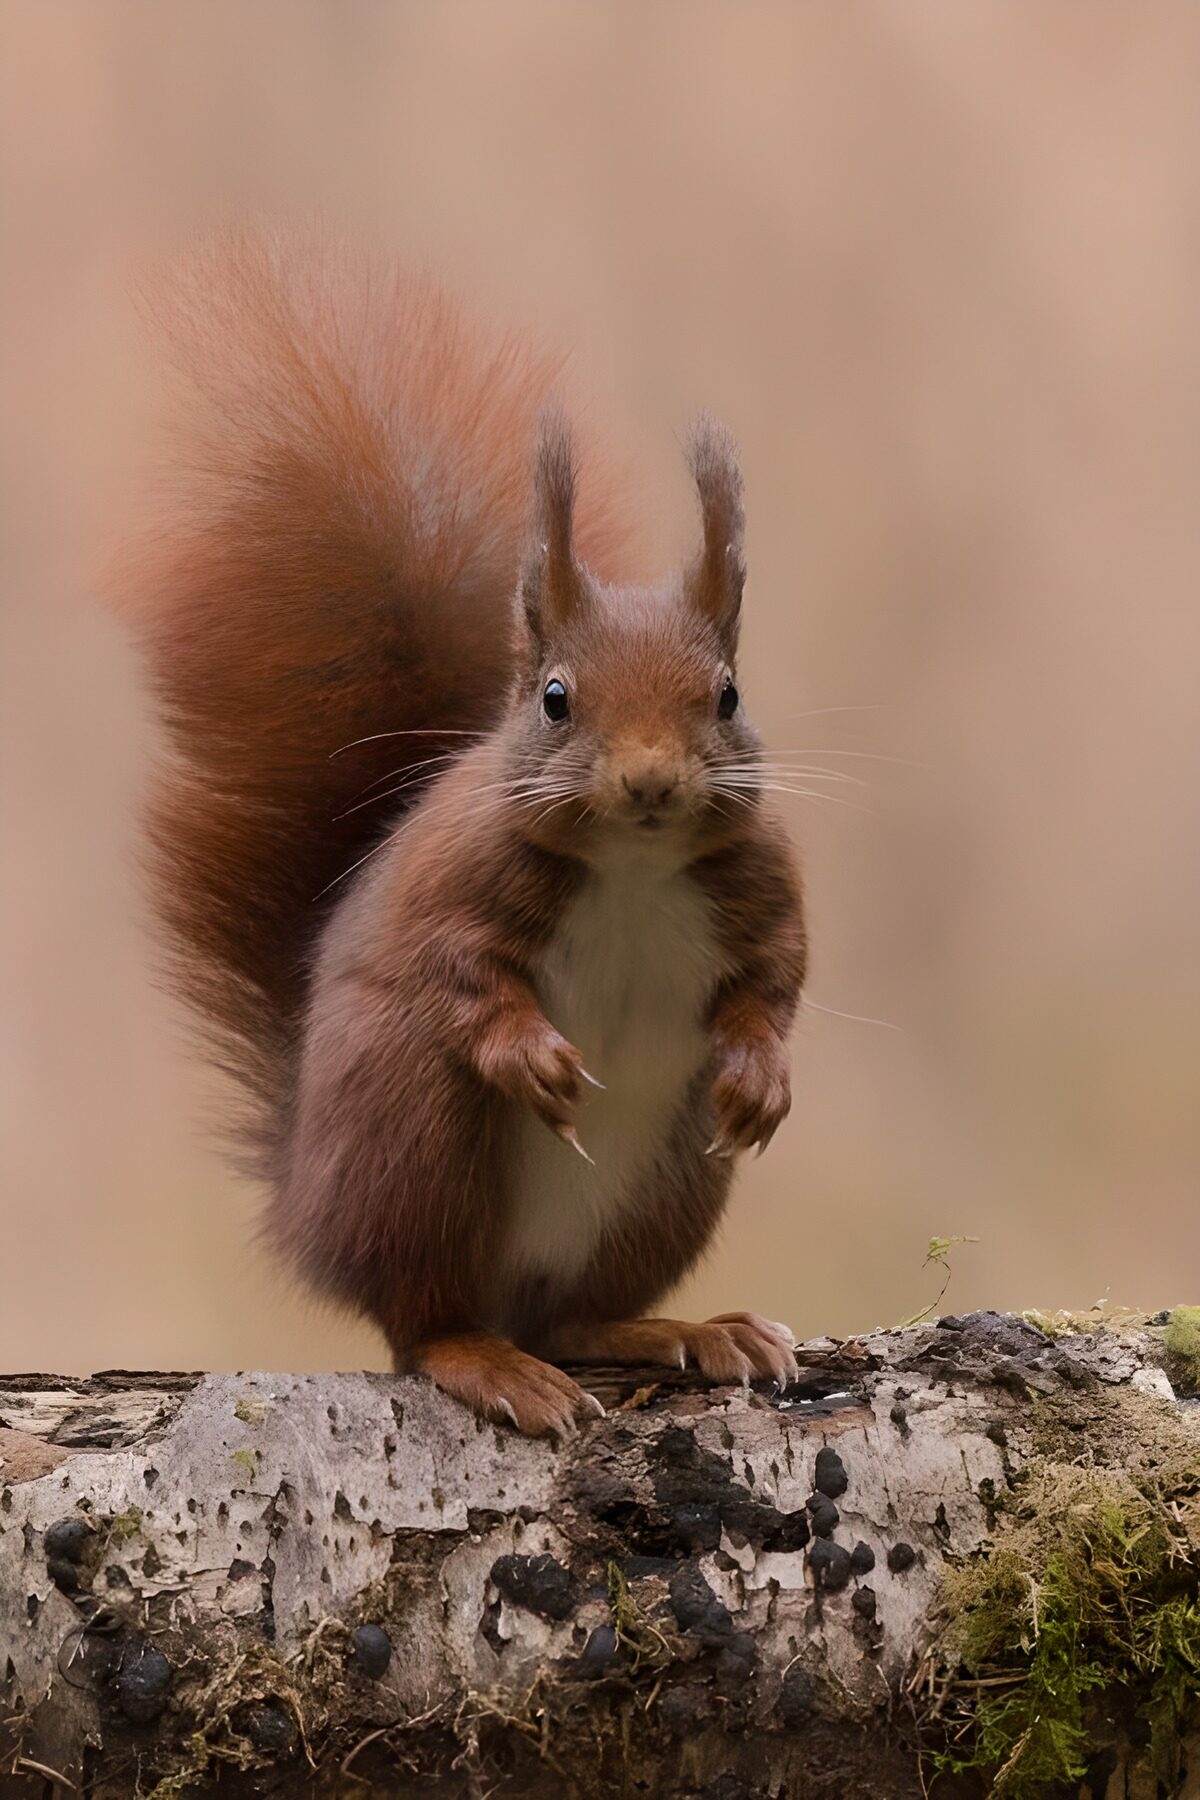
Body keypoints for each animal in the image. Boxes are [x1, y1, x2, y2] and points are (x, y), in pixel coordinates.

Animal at [121, 232, 807, 1436]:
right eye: (555, 698)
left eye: (726, 697)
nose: (649, 781)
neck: (634, 864)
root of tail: (306, 1208)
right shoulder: (455, 885)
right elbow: (458, 974)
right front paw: (534, 1058)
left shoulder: (760, 883)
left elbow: (778, 977)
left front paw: (762, 1079)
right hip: (416, 1143)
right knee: (421, 1323)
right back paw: (489, 1363)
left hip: (670, 1183)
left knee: (574, 1316)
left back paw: (688, 1329)